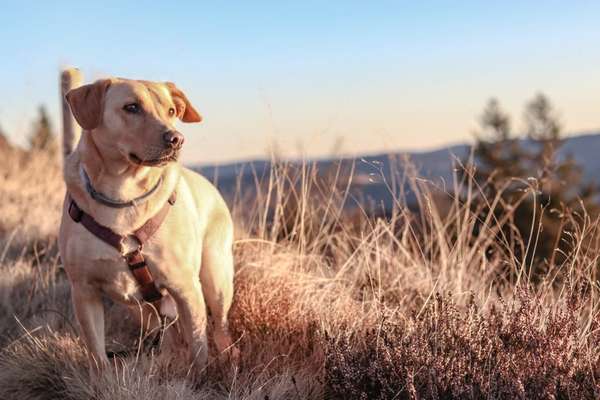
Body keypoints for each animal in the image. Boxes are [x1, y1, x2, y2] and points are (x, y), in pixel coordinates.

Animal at [58, 69, 236, 368]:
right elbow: (97, 357)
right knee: (164, 333)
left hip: (216, 278)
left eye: (172, 111)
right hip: (140, 308)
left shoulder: (186, 288)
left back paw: (228, 359)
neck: (122, 195)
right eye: (132, 107)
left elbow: (199, 348)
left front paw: (200, 375)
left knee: (221, 328)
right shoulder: (84, 292)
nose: (177, 139)